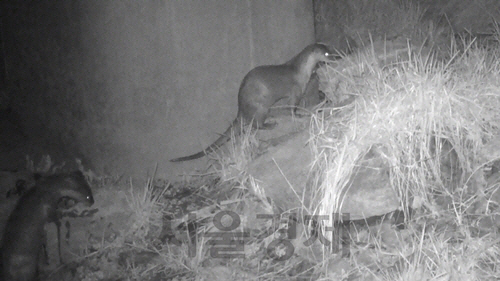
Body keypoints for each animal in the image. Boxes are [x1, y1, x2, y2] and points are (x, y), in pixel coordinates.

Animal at [172, 42, 336, 161]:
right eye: (327, 54)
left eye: (330, 50)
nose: (336, 57)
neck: (300, 71)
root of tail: (240, 107)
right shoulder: (296, 91)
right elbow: (290, 107)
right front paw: (299, 115)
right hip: (261, 107)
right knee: (256, 124)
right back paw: (270, 124)